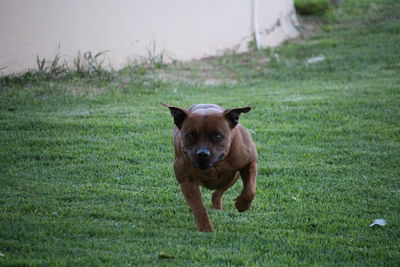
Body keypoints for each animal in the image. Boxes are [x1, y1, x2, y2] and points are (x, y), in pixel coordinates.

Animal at [163, 102, 260, 232]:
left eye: (218, 135)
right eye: (191, 135)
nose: (202, 153)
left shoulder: (250, 163)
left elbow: (250, 190)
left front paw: (242, 204)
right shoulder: (187, 181)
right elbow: (199, 207)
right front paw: (206, 229)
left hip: (232, 177)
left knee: (218, 192)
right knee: (217, 193)